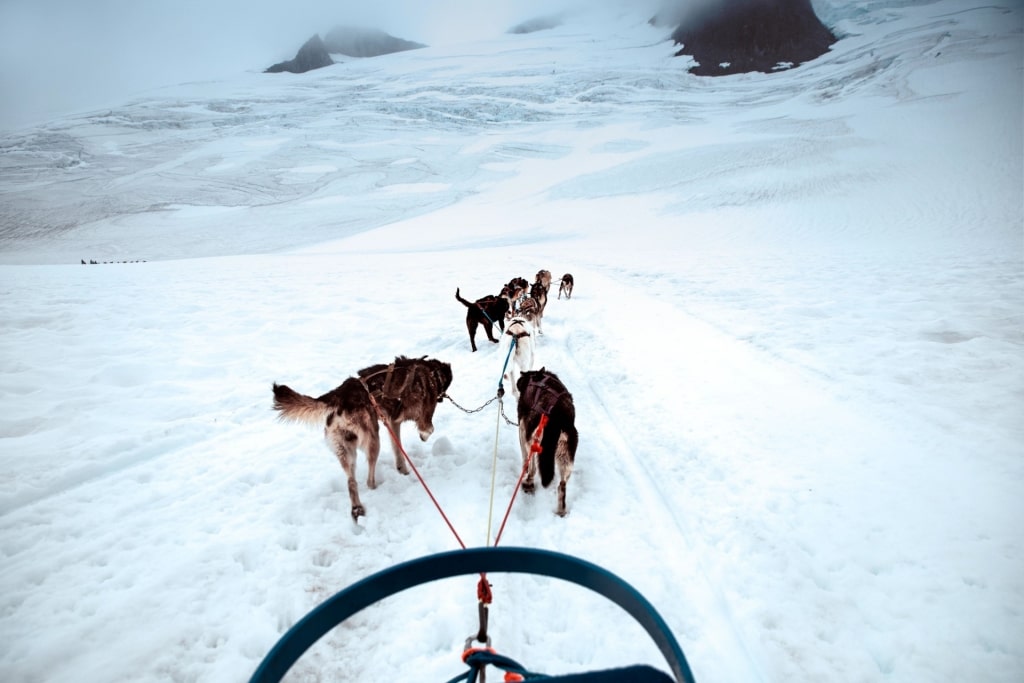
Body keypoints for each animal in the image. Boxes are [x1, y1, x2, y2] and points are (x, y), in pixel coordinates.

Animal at [272, 356, 452, 520]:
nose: (443, 398)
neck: (431, 372)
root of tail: (338, 396)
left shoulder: (392, 422)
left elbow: (397, 449)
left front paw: (403, 469)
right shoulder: (421, 418)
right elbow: (427, 430)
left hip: (345, 450)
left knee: (351, 483)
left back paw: (357, 509)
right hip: (373, 440)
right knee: (368, 480)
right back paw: (374, 490)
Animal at [516, 370, 581, 516]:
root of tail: (558, 416)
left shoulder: (523, 429)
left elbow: (526, 459)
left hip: (534, 441)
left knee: (533, 468)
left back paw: (528, 483)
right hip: (565, 456)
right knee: (562, 485)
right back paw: (561, 511)